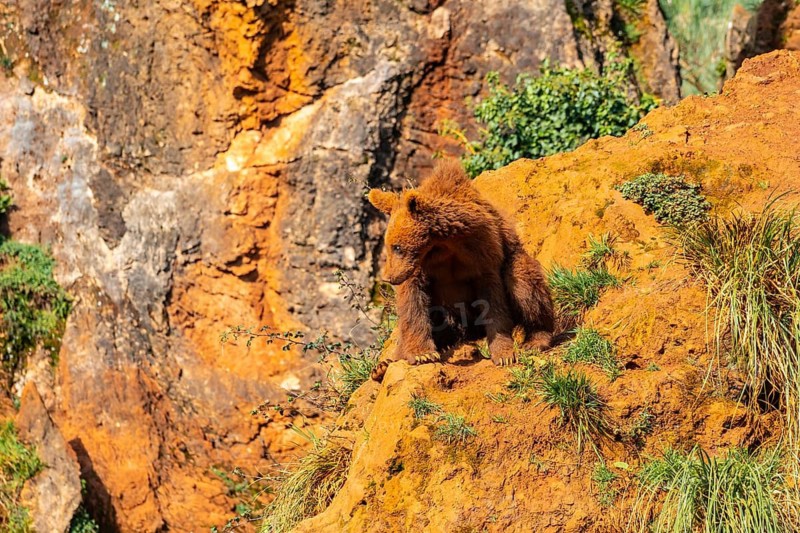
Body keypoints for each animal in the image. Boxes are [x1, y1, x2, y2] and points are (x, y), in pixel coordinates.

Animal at [367, 159, 554, 381]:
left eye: (397, 247)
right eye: (388, 246)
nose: (388, 277)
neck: (443, 243)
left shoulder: (482, 251)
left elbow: (494, 297)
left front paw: (504, 354)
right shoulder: (419, 270)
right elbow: (413, 302)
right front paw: (422, 354)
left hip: (514, 262)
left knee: (524, 284)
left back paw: (536, 339)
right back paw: (382, 367)